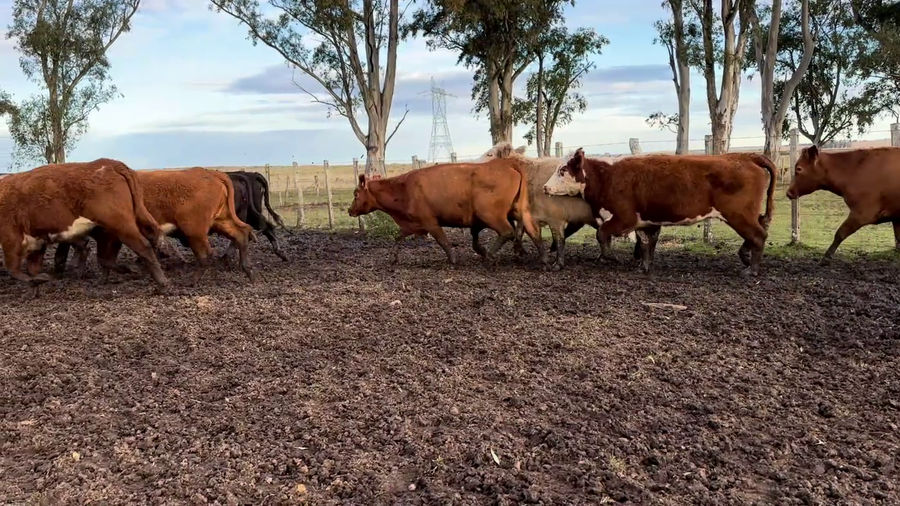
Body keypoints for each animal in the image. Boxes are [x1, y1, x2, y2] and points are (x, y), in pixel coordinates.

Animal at [0, 158, 169, 295]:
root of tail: (111, 163)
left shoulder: (11, 239)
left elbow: (14, 269)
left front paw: (40, 279)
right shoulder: (36, 242)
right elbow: (31, 269)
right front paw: (33, 290)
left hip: (121, 225)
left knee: (143, 246)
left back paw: (162, 284)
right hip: (133, 220)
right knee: (151, 239)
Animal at [53, 167, 256, 286]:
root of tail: (213, 173)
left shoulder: (112, 234)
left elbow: (105, 259)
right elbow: (105, 260)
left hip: (194, 229)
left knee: (206, 254)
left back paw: (192, 281)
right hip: (221, 220)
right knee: (241, 233)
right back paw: (248, 270)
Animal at [348, 158, 547, 267]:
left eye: (356, 194)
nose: (350, 210)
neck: (403, 189)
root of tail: (506, 164)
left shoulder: (430, 222)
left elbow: (444, 241)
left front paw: (453, 260)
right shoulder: (412, 224)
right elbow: (398, 238)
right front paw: (393, 258)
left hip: (491, 215)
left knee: (507, 232)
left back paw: (490, 257)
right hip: (518, 211)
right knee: (532, 231)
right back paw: (541, 259)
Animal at [476, 141, 643, 269]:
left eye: (490, 154)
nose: (473, 165)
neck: (530, 175)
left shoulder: (555, 218)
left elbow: (559, 240)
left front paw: (557, 263)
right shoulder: (530, 215)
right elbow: (525, 233)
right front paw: (520, 252)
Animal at [543, 148, 776, 276]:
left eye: (563, 170)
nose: (545, 187)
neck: (607, 177)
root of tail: (747, 156)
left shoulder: (624, 218)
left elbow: (602, 235)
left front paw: (613, 258)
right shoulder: (644, 221)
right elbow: (646, 244)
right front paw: (643, 267)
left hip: (739, 215)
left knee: (758, 235)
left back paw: (751, 269)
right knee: (758, 232)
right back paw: (746, 257)